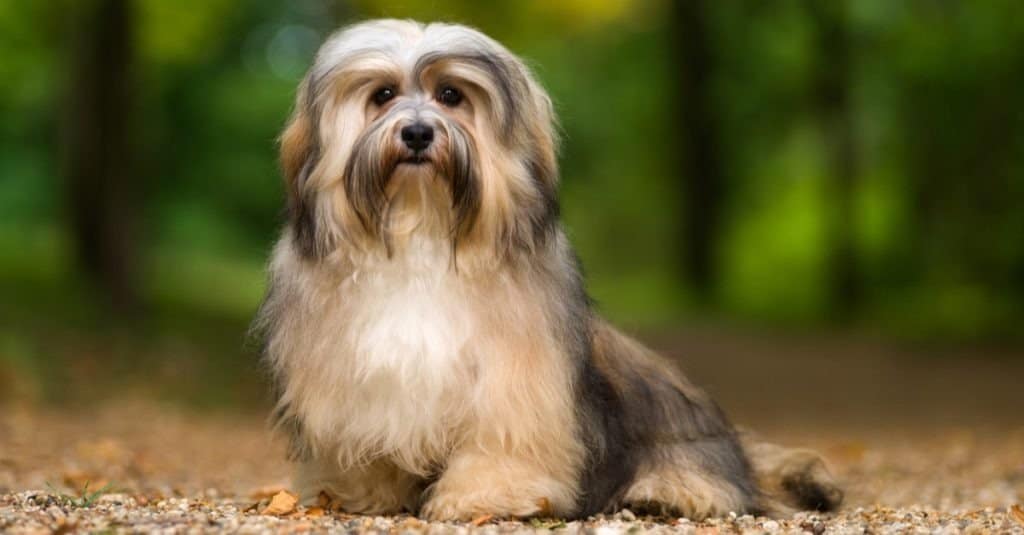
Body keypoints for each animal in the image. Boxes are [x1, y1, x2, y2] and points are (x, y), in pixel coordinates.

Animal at [253, 18, 839, 518]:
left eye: (451, 95)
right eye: (383, 96)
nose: (418, 133)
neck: (422, 233)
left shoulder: (516, 380)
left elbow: (503, 441)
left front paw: (486, 496)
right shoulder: (356, 382)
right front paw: (361, 494)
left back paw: (665, 493)